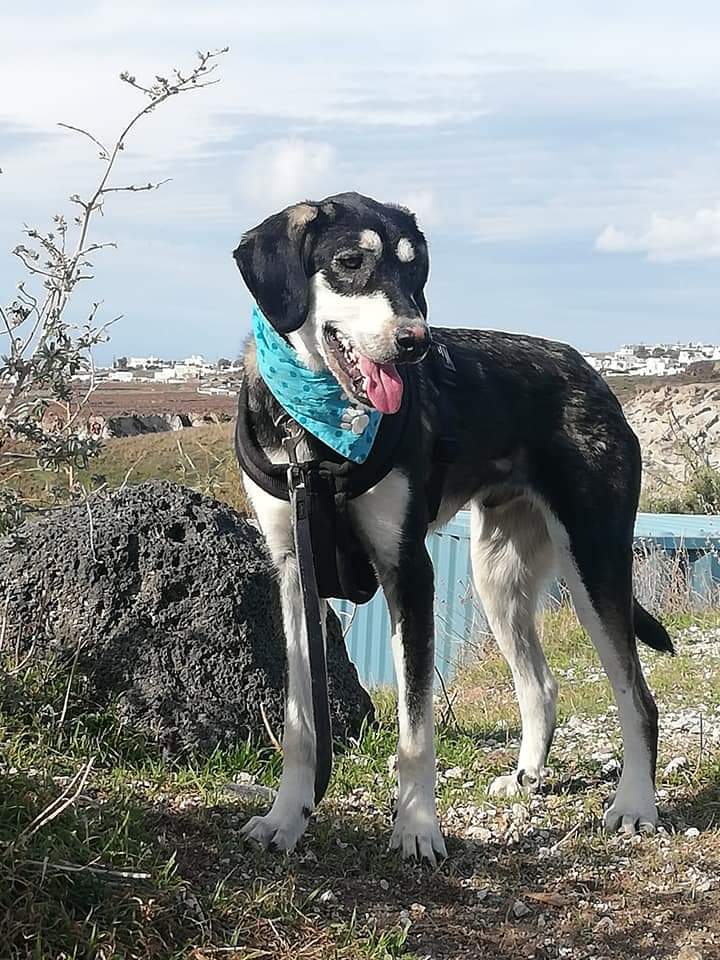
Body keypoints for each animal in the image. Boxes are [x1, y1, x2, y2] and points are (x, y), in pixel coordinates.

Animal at [232, 192, 673, 864]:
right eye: (350, 262)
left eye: (415, 269)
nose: (415, 342)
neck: (316, 437)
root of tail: (589, 370)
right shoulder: (292, 573)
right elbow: (302, 724)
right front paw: (286, 818)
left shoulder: (409, 571)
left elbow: (415, 728)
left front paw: (417, 831)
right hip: (497, 575)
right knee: (541, 687)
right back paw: (526, 777)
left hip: (594, 563)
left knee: (638, 699)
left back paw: (635, 806)